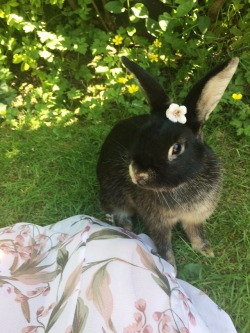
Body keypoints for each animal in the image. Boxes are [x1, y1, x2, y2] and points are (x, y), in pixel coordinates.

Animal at [95, 55, 238, 268]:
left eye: (176, 149)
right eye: (141, 135)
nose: (137, 174)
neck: (183, 185)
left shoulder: (195, 217)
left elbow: (196, 232)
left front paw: (206, 251)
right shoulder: (158, 222)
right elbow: (163, 243)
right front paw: (170, 266)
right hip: (112, 195)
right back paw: (127, 228)